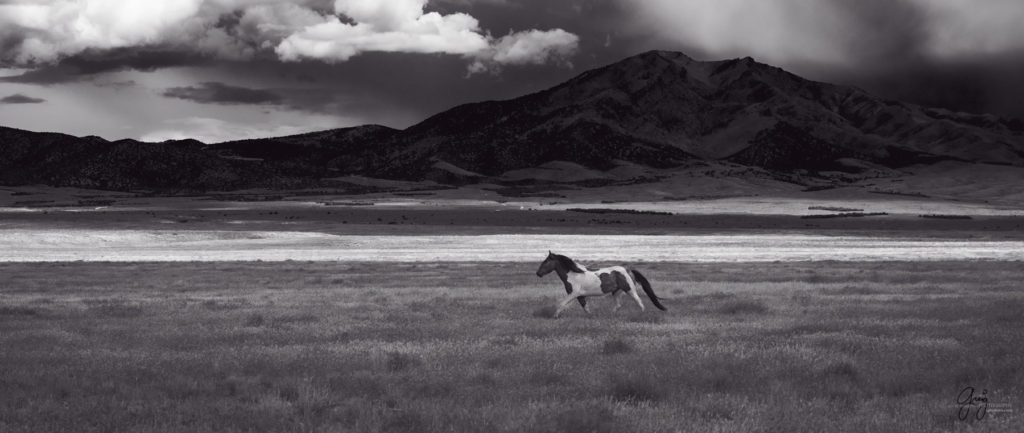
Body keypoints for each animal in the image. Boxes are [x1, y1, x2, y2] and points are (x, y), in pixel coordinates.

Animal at [532, 250, 667, 319]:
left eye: (546, 262)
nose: (538, 273)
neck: (573, 275)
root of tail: (628, 270)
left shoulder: (573, 294)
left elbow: (561, 303)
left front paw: (554, 316)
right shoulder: (580, 296)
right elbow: (586, 308)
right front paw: (591, 317)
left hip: (629, 290)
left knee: (639, 301)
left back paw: (642, 314)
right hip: (616, 292)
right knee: (618, 305)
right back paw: (610, 315)